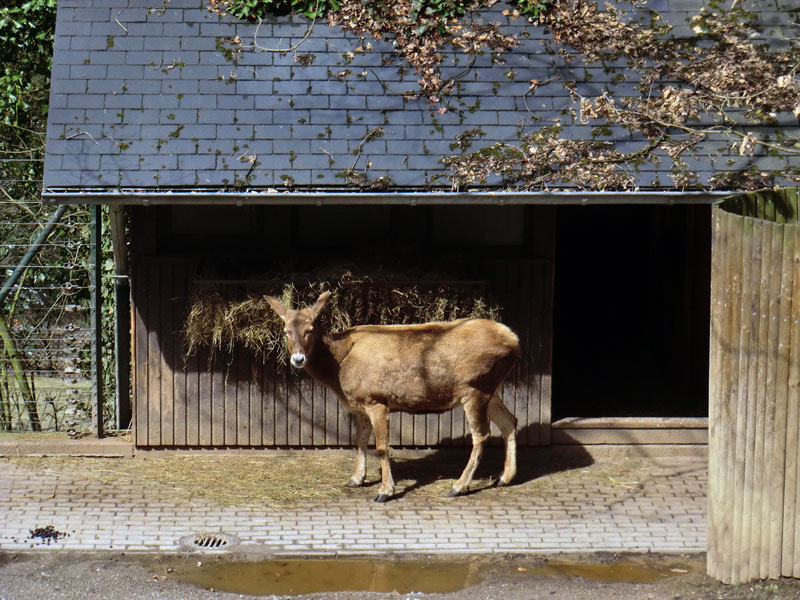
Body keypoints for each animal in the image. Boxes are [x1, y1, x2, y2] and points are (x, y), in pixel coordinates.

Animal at [266, 290, 520, 502]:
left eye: (310, 329)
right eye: (286, 330)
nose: (298, 359)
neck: (338, 368)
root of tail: (514, 342)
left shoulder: (376, 400)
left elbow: (381, 447)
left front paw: (385, 491)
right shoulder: (359, 405)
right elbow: (360, 441)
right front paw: (356, 479)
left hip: (476, 388)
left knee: (481, 435)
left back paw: (459, 486)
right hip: (491, 388)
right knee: (510, 421)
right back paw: (504, 477)